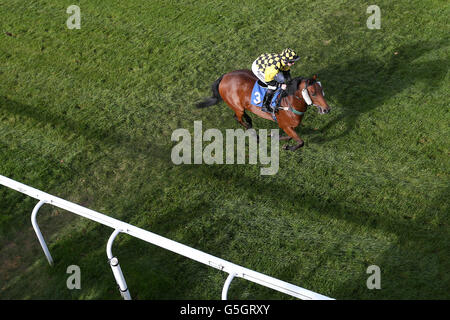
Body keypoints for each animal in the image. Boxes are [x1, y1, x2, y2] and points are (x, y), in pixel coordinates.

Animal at [197, 70, 330, 150]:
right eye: (313, 93)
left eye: (321, 89)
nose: (327, 109)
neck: (289, 102)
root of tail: (224, 77)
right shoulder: (285, 125)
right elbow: (300, 141)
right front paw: (287, 147)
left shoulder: (288, 126)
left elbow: (290, 137)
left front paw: (274, 136)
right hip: (237, 107)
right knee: (237, 117)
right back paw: (254, 134)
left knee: (244, 117)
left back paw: (250, 123)